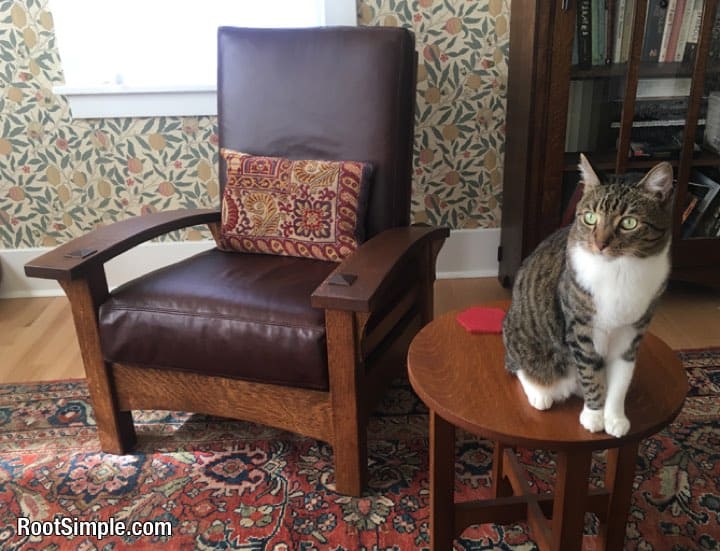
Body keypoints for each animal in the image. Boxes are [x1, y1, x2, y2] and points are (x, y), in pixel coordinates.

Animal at [500, 155, 676, 440]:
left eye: (629, 223)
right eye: (591, 218)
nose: (600, 244)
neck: (619, 271)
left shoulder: (632, 332)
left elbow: (621, 379)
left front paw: (614, 417)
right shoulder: (581, 328)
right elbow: (590, 372)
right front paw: (594, 416)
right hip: (522, 335)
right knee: (520, 365)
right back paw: (540, 392)